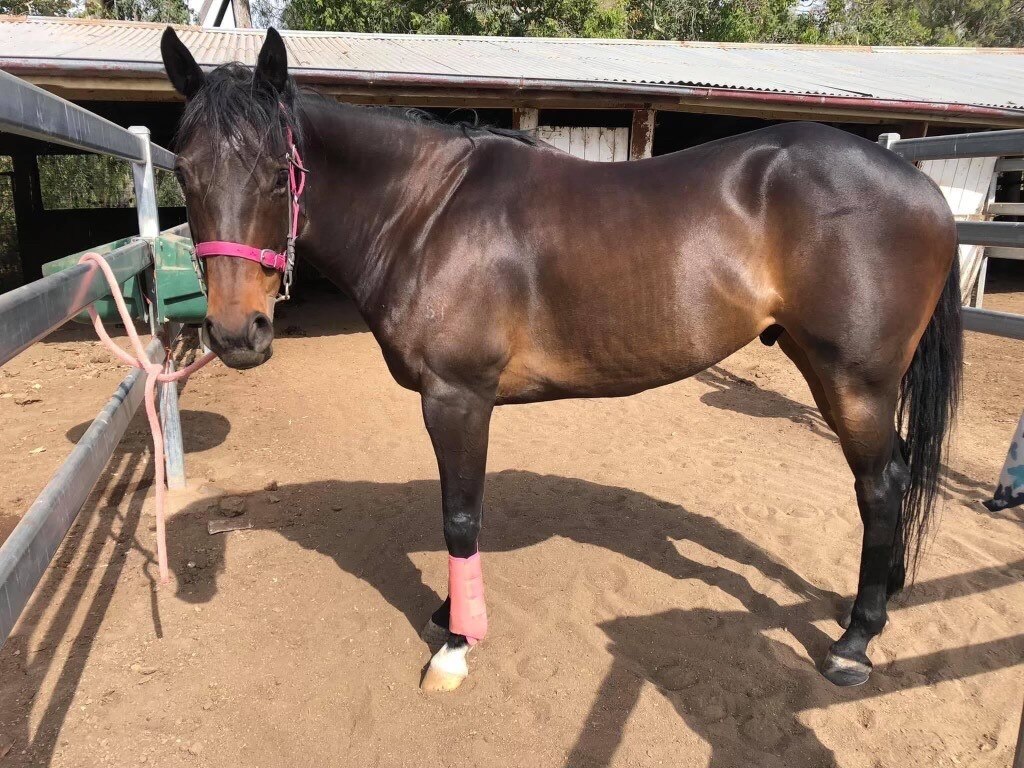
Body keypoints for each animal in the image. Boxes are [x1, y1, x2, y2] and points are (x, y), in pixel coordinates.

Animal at [160, 26, 962, 692]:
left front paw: (456, 644)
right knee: (885, 479)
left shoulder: (457, 396)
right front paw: (448, 612)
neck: (425, 211)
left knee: (881, 486)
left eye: (278, 172)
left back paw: (854, 643)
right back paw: (882, 596)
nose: (236, 334)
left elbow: (459, 516)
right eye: (185, 174)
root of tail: (922, 186)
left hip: (855, 379)